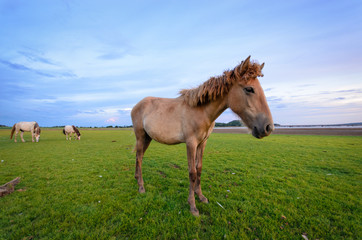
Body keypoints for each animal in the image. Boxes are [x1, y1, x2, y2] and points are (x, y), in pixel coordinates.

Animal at [132, 56, 272, 216]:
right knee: (139, 158)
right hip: (140, 137)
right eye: (249, 89)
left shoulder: (202, 143)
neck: (201, 111)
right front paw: (192, 206)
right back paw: (141, 187)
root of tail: (136, 106)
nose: (268, 127)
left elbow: (199, 169)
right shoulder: (191, 143)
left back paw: (137, 179)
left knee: (139, 157)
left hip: (147, 138)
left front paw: (201, 196)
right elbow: (192, 173)